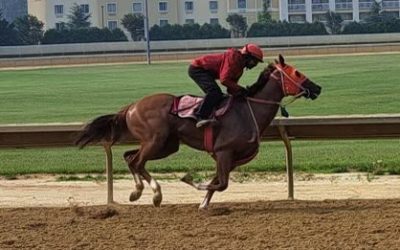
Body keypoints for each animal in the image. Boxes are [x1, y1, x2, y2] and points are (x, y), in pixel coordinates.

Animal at [76, 54, 322, 209]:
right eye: (297, 73)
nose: (317, 88)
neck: (249, 110)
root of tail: (131, 106)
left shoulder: (231, 158)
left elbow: (218, 182)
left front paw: (203, 203)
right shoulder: (223, 152)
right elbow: (221, 184)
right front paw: (189, 180)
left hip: (167, 145)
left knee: (130, 158)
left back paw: (139, 191)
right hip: (156, 140)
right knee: (137, 162)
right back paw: (154, 194)